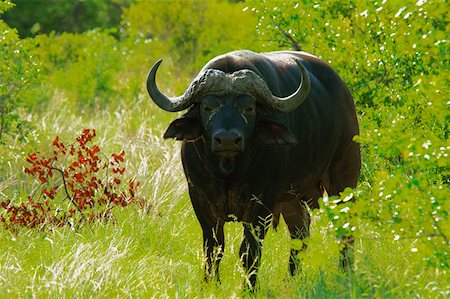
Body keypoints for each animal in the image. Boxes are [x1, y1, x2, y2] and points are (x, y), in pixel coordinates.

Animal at [146, 51, 360, 290]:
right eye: (208, 107)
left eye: (248, 108)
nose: (227, 139)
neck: (228, 173)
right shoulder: (198, 195)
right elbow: (213, 246)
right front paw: (210, 283)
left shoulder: (262, 201)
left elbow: (249, 250)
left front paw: (249, 288)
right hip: (291, 198)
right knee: (300, 230)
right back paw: (291, 278)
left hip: (343, 179)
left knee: (345, 226)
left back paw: (345, 272)